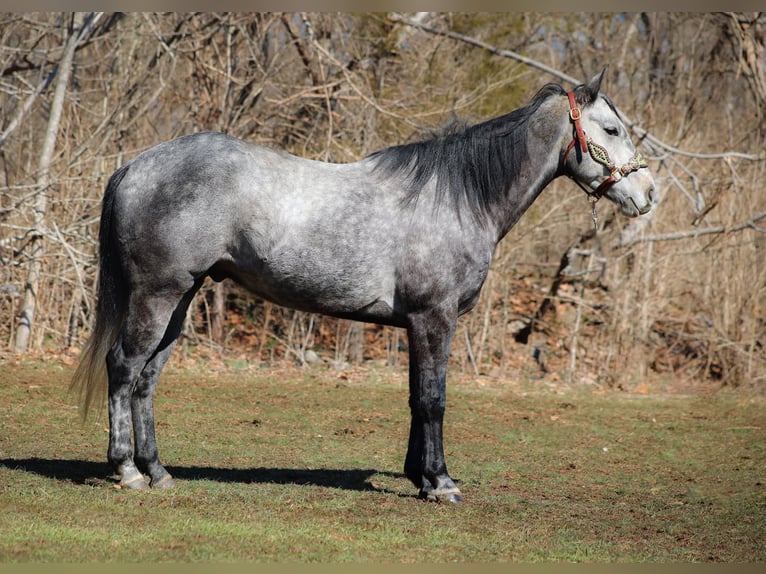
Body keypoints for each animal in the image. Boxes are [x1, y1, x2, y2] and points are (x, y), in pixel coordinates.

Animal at [71, 69, 655, 502]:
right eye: (610, 130)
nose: (647, 194)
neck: (458, 198)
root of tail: (134, 167)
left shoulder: (417, 324)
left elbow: (417, 398)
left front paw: (420, 476)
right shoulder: (434, 317)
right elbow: (434, 399)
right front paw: (441, 483)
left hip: (181, 300)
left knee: (147, 378)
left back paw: (158, 470)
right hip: (158, 295)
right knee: (123, 367)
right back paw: (127, 471)